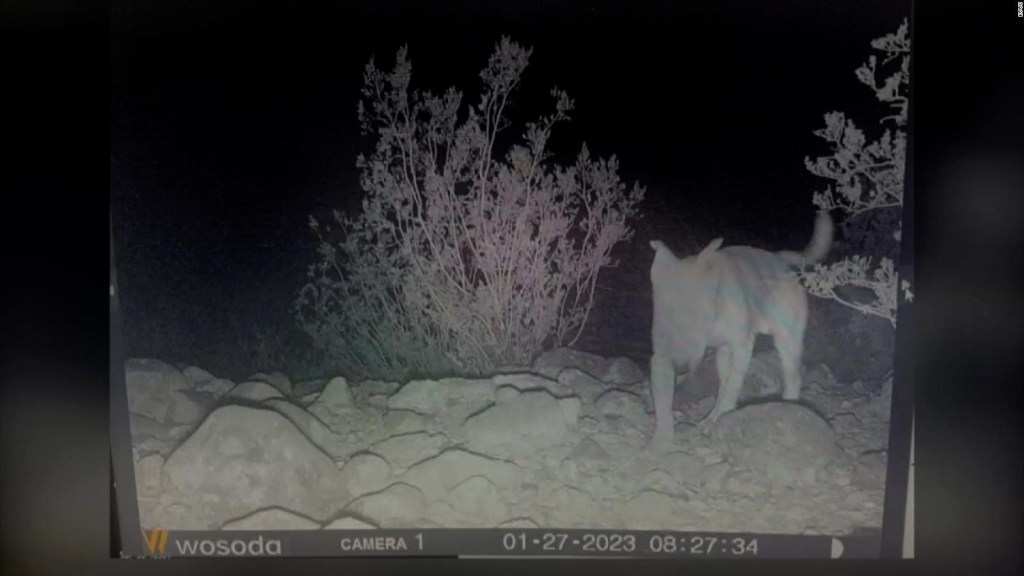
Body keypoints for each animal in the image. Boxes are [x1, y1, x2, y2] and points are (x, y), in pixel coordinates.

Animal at [647, 208, 831, 446]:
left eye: (696, 314)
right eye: (664, 313)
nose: (681, 369)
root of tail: (779, 258)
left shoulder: (742, 345)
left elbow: (730, 390)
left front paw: (712, 422)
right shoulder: (660, 356)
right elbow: (663, 402)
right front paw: (661, 441)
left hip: (786, 342)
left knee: (791, 378)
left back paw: (789, 406)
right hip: (723, 353)